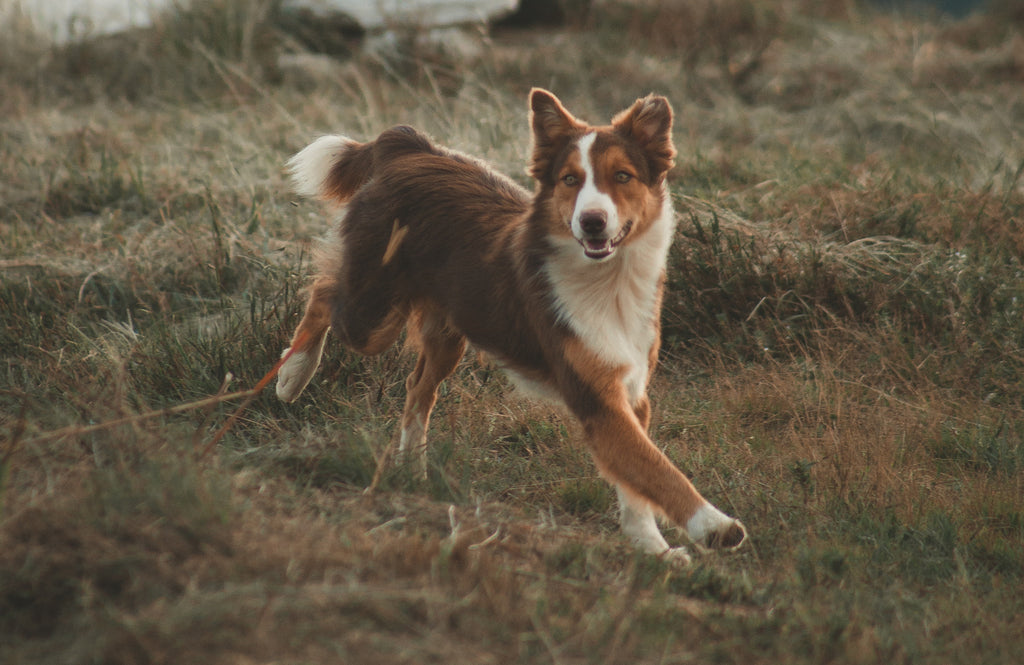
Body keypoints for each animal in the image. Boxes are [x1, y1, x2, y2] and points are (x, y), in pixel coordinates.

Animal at [276, 88, 749, 561]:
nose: (591, 222)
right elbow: (658, 469)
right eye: (570, 180)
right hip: (372, 314)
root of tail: (409, 147)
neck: (608, 281)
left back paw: (412, 467)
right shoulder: (597, 398)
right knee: (323, 293)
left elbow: (637, 484)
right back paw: (292, 375)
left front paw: (652, 548)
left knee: (417, 388)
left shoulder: (630, 394)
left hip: (449, 332)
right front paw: (713, 525)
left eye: (622, 176)